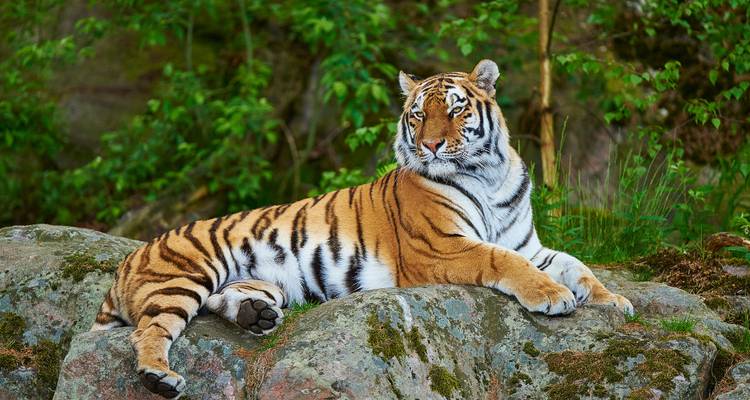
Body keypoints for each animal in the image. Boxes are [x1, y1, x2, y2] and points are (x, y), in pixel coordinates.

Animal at [91, 59, 633, 399]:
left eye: (455, 109)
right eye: (418, 115)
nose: (431, 145)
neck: (489, 173)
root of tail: (128, 260)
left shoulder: (527, 242)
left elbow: (574, 264)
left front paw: (613, 301)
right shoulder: (441, 248)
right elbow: (505, 261)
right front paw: (552, 296)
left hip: (261, 283)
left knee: (223, 302)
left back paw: (256, 317)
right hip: (183, 276)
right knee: (148, 331)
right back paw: (159, 377)